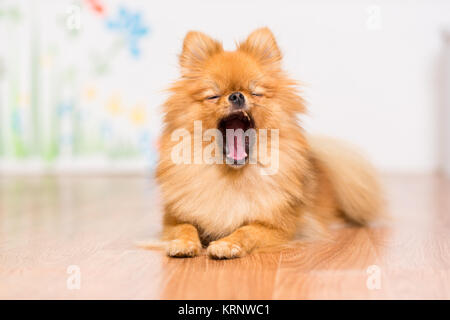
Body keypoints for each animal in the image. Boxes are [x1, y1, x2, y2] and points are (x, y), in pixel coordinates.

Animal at [156, 26, 384, 258]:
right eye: (213, 96)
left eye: (255, 93)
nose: (236, 95)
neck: (232, 176)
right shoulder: (172, 219)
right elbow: (184, 226)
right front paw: (183, 242)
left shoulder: (281, 228)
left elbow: (248, 230)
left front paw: (228, 244)